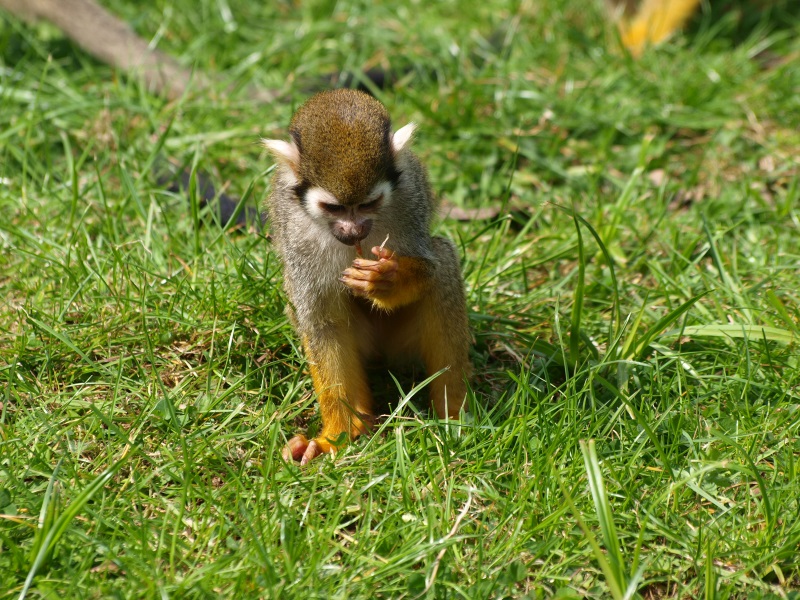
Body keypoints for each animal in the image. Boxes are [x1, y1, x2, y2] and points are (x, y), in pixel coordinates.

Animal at [262, 89, 471, 465]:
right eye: (334, 208)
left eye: (370, 203)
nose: (354, 230)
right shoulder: (295, 230)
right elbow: (325, 326)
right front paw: (336, 435)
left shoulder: (410, 198)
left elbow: (428, 268)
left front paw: (389, 280)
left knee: (444, 267)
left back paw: (453, 413)